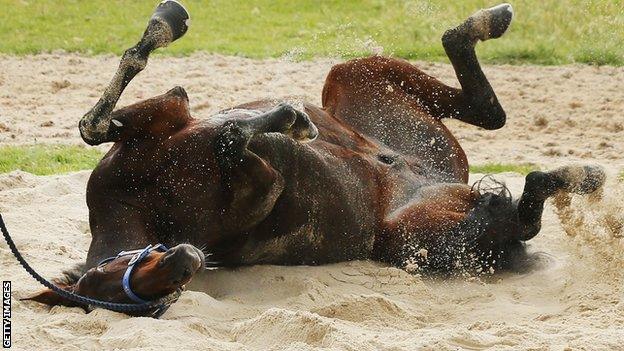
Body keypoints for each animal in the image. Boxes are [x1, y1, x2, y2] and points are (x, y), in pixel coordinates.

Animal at [25, 1, 604, 314]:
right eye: (147, 297)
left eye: (124, 270)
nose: (187, 260)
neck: (144, 202)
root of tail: (430, 178)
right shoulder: (260, 185)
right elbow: (230, 141)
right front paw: (281, 121)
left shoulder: (160, 120)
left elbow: (99, 121)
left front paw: (168, 23)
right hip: (425, 235)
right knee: (521, 203)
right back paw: (576, 177)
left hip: (357, 80)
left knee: (483, 107)